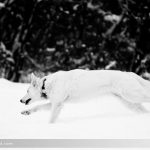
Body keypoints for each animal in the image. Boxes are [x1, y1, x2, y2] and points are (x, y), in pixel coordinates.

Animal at [19, 69, 150, 122]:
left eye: (27, 90)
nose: (20, 100)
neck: (45, 85)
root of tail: (128, 73)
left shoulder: (57, 105)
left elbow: (51, 119)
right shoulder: (56, 103)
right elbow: (37, 107)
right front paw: (26, 112)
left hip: (132, 95)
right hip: (130, 103)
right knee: (144, 111)